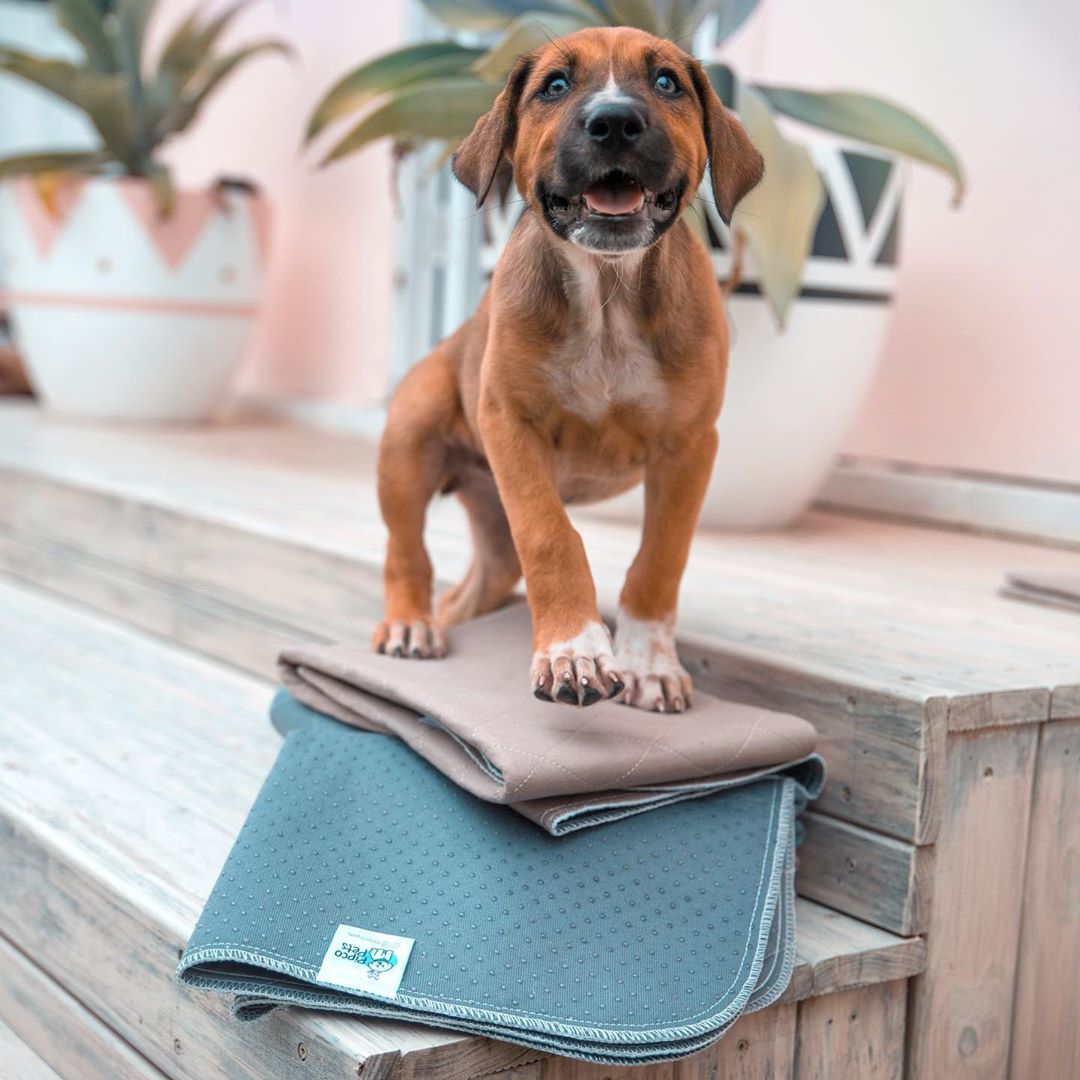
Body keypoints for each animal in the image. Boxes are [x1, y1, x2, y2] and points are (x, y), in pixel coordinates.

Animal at [375, 25, 764, 712]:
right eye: (554, 85)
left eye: (667, 82)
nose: (614, 122)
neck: (606, 294)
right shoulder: (512, 425)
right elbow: (551, 535)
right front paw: (574, 651)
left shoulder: (689, 447)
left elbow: (661, 558)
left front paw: (648, 660)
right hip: (408, 440)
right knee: (405, 551)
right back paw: (408, 623)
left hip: (490, 527)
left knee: (474, 589)